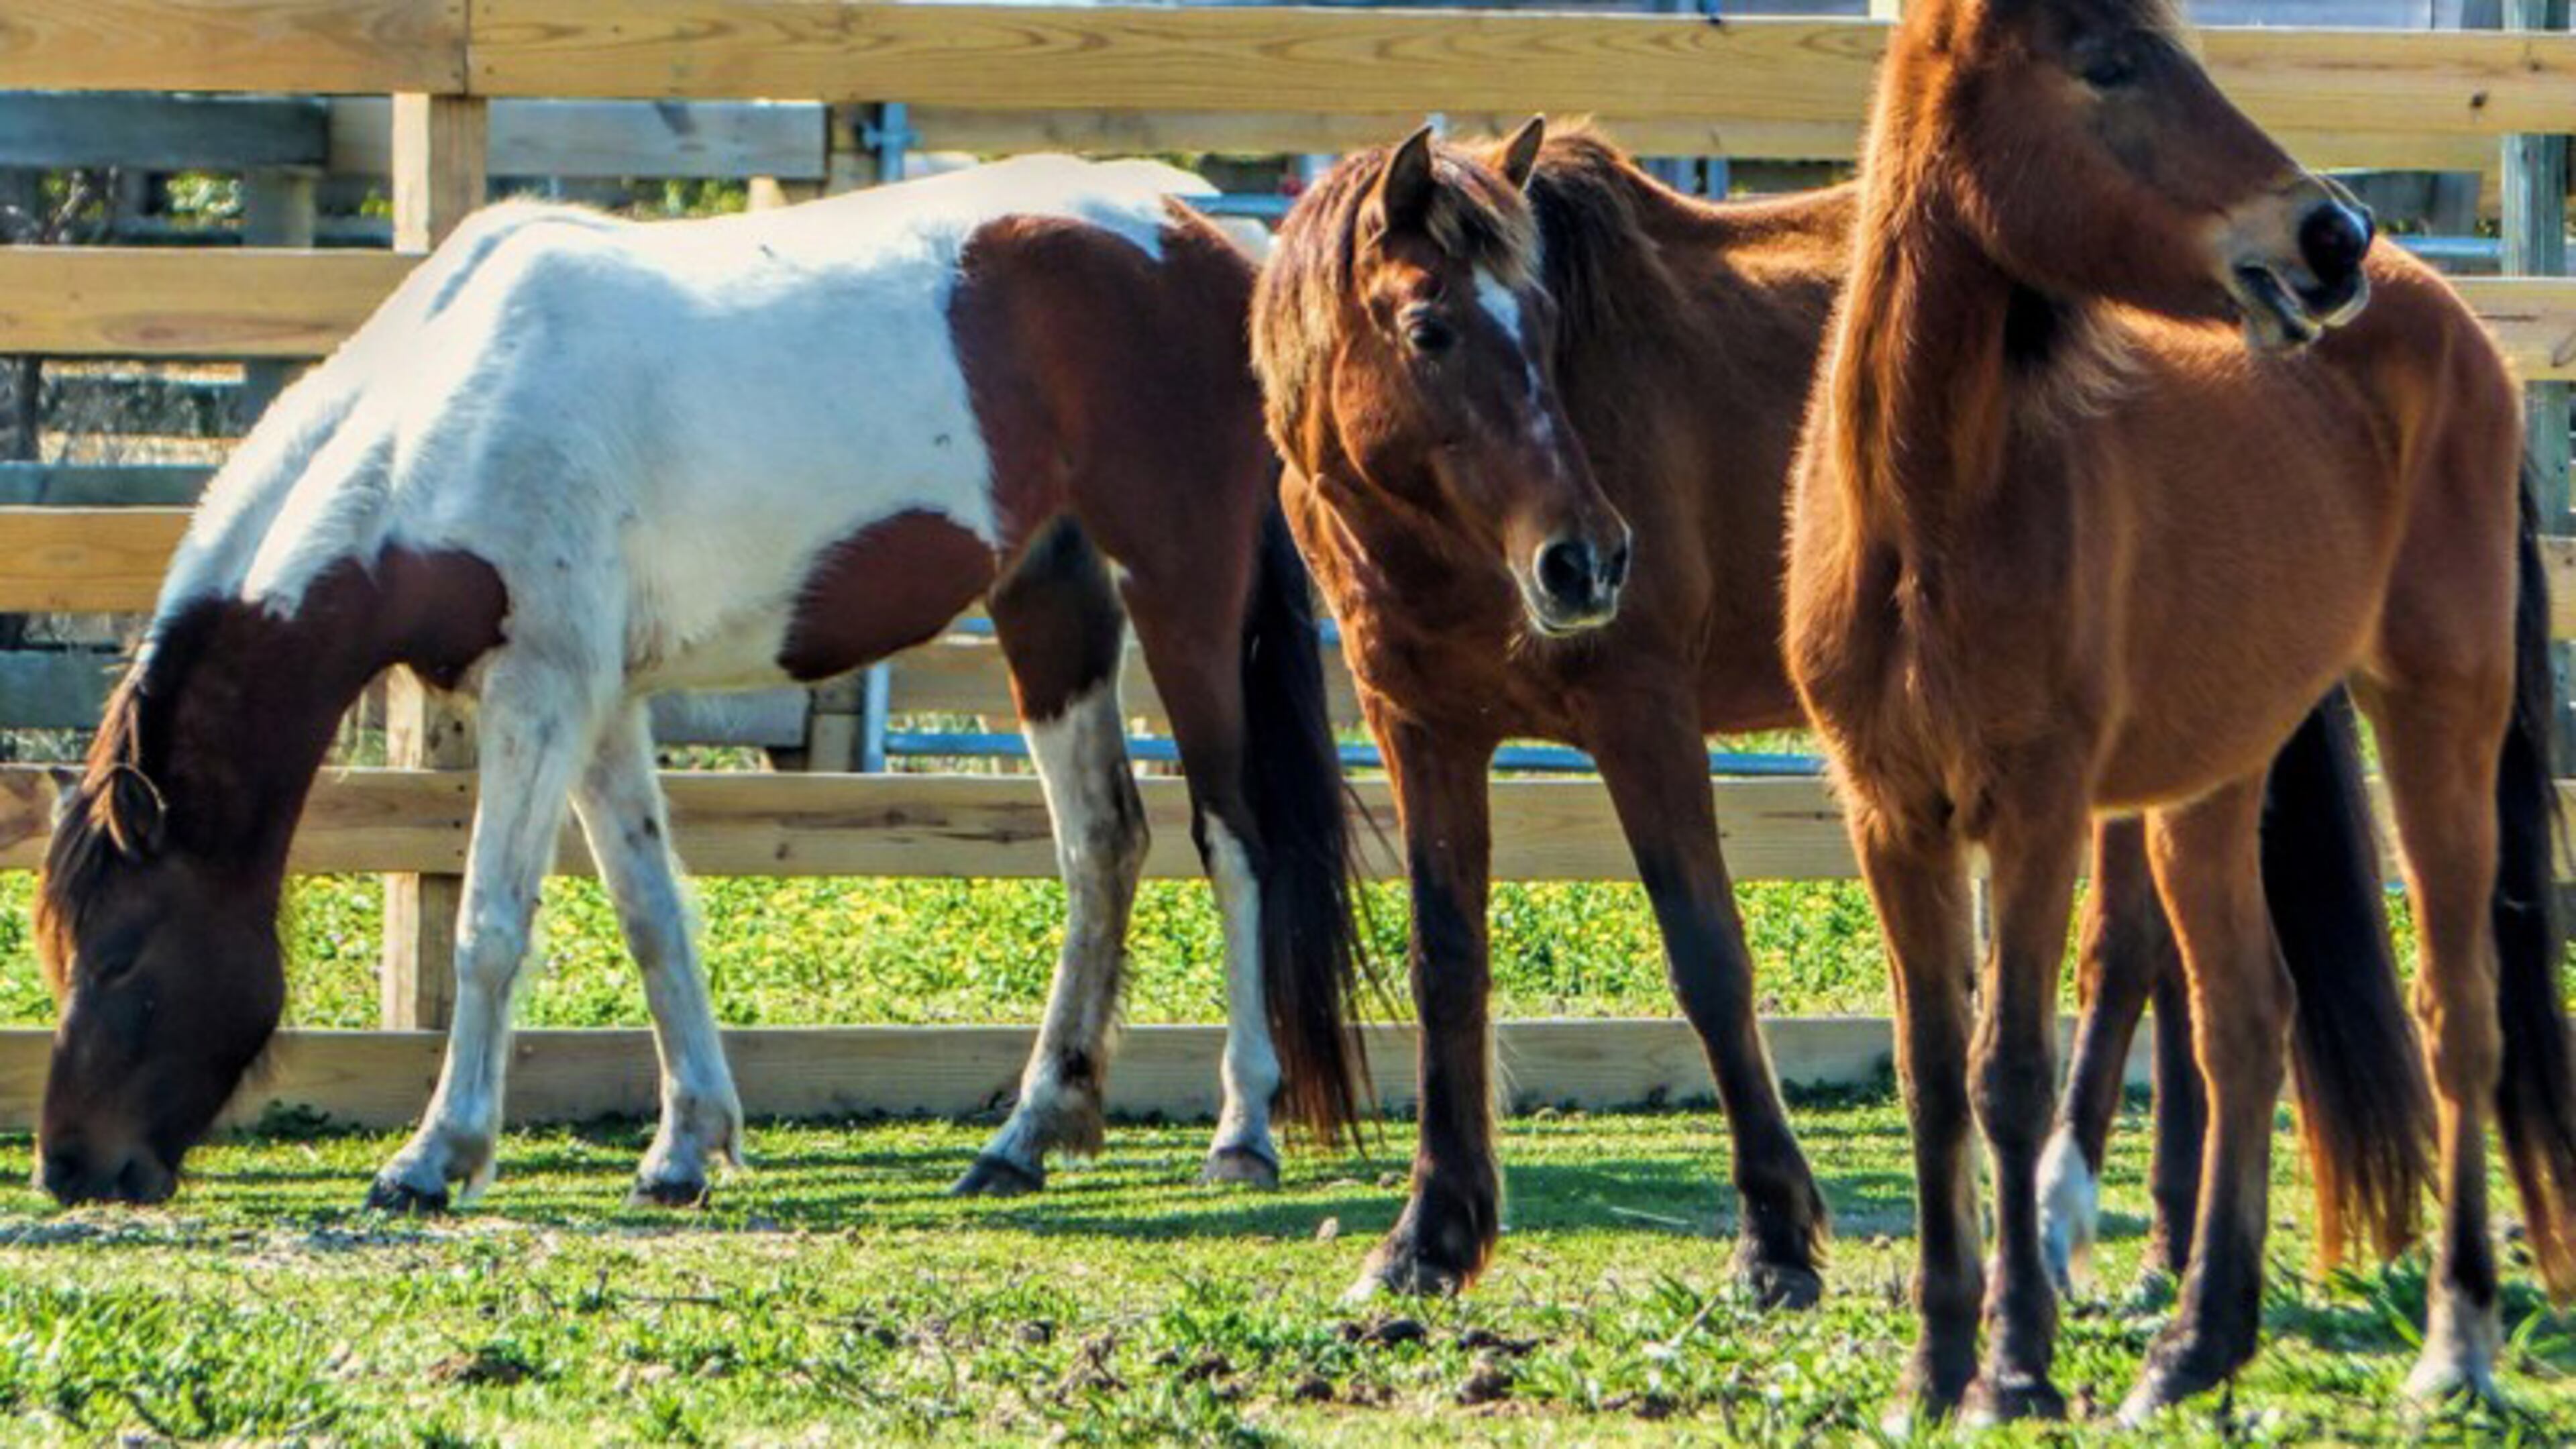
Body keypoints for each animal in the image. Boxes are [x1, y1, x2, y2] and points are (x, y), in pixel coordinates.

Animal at [33, 156, 1371, 1211]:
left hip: (1183, 587)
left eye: (121, 959)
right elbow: (651, 915)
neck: (444, 421)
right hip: (1051, 598)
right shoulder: (601, 705)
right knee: (1102, 846)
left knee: (1235, 840)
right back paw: (1028, 1134)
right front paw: (687, 1147)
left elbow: (488, 927)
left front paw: (435, 1157)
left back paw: (1243, 1131)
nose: (69, 1167)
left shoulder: (542, 694)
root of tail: (1204, 229)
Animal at [1253, 119, 2424, 1308]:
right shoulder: (1421, 729)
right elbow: (1447, 963)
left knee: (2138, 953)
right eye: (1430, 329)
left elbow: (1709, 958)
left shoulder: (1642, 713)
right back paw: (2168, 1246)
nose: (1587, 560)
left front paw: (1774, 1236)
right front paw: (1429, 1236)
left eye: (1544, 323)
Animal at [1786, 0, 2576, 1423]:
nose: (2331, 239)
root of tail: (2456, 326)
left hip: (2438, 713)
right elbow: (1933, 1076)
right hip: (2210, 787)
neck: (1930, 517)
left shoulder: (2037, 813)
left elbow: (2009, 1073)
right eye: (2107, 65)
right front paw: (1936, 1365)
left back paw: (2456, 1342)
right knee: (2246, 1023)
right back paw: (2198, 1342)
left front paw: (2014, 1369)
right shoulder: (1894, 819)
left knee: (2459, 1018)